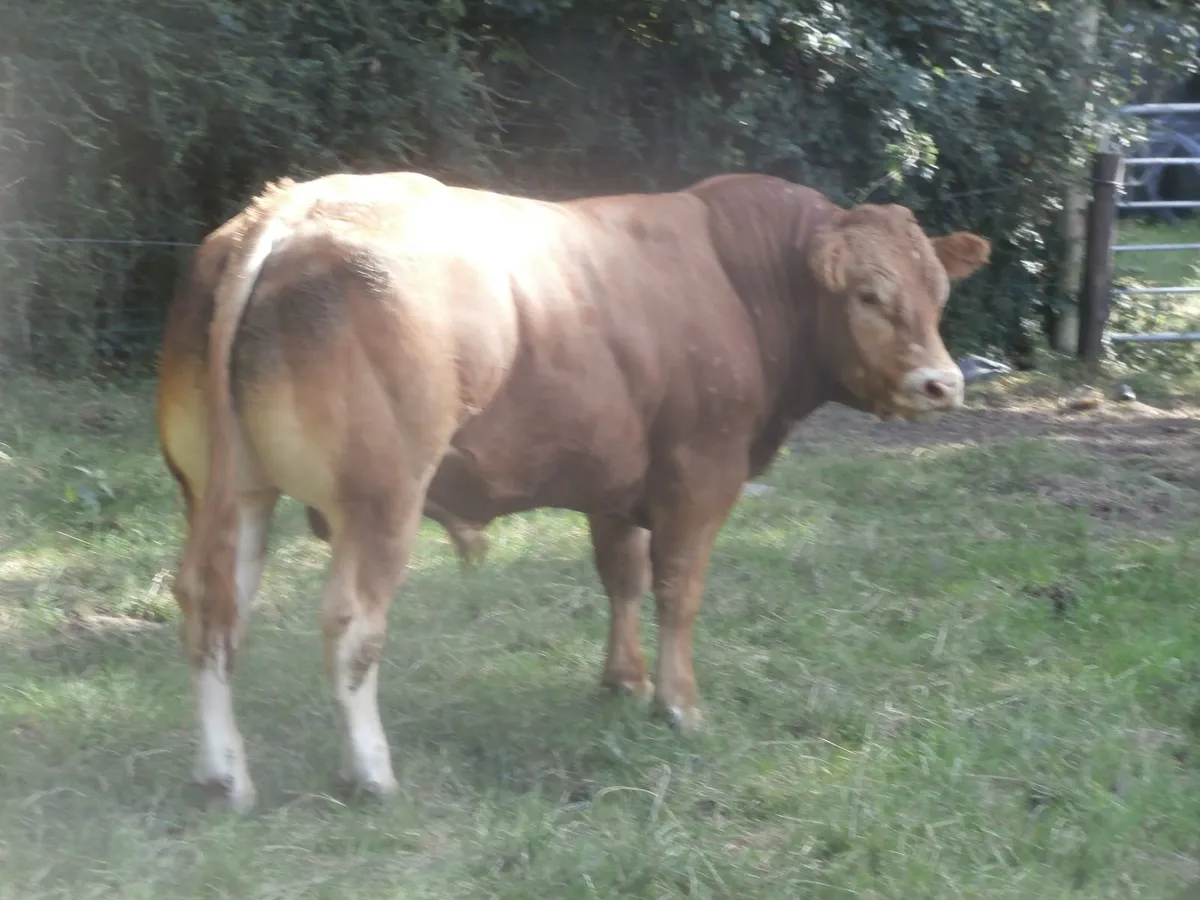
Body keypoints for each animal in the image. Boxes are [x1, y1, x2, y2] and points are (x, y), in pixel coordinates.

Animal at [156, 170, 989, 812]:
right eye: (869, 295)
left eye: (938, 291)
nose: (941, 384)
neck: (740, 279)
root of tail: (290, 208)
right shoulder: (701, 475)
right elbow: (677, 590)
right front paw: (679, 705)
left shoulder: (616, 480)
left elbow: (621, 576)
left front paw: (624, 681)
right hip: (381, 499)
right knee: (351, 624)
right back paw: (371, 773)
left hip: (228, 492)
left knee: (209, 609)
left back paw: (221, 773)